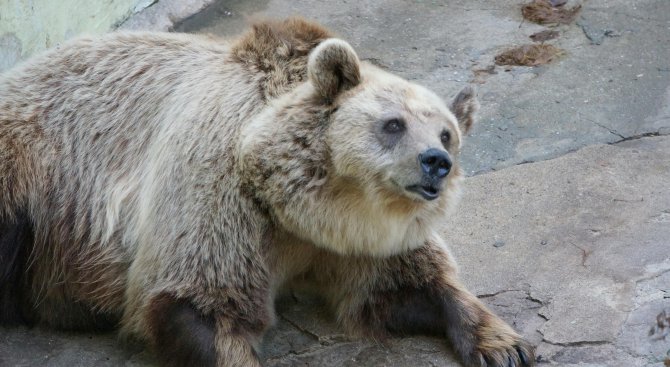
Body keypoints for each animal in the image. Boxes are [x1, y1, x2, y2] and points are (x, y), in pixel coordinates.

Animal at [0, 18, 536, 367]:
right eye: (393, 124)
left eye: (447, 133)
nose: (436, 163)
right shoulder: (221, 192)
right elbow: (201, 301)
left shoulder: (362, 242)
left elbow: (407, 285)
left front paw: (504, 345)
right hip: (34, 168)